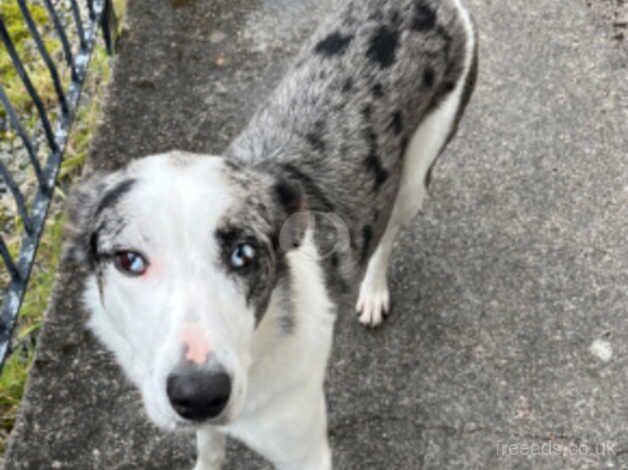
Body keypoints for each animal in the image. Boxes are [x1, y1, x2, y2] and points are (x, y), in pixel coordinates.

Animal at [66, 0, 476, 468]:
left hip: (416, 177)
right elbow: (209, 448)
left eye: (243, 254)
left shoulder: (305, 451)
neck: (257, 348)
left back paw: (373, 291)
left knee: (388, 233)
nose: (200, 394)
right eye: (129, 260)